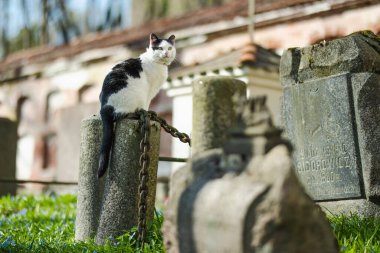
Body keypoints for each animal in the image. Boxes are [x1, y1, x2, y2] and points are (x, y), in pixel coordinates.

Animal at [97, 32, 176, 178]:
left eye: (169, 48)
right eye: (160, 48)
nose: (166, 53)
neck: (156, 63)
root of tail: (105, 107)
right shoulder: (149, 91)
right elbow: (147, 105)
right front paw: (148, 112)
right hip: (139, 93)